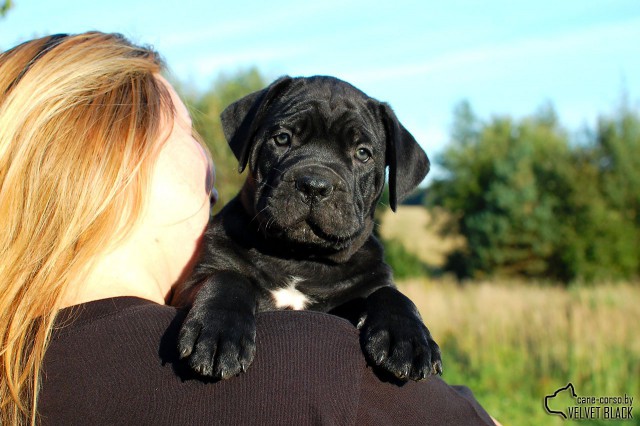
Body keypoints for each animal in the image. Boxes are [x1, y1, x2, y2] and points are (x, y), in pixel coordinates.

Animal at [172, 75, 442, 382]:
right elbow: (228, 278)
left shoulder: (364, 286)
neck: (299, 258)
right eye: (282, 138)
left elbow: (391, 294)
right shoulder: (197, 277)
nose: (314, 185)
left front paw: (408, 339)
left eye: (363, 153)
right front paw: (218, 334)